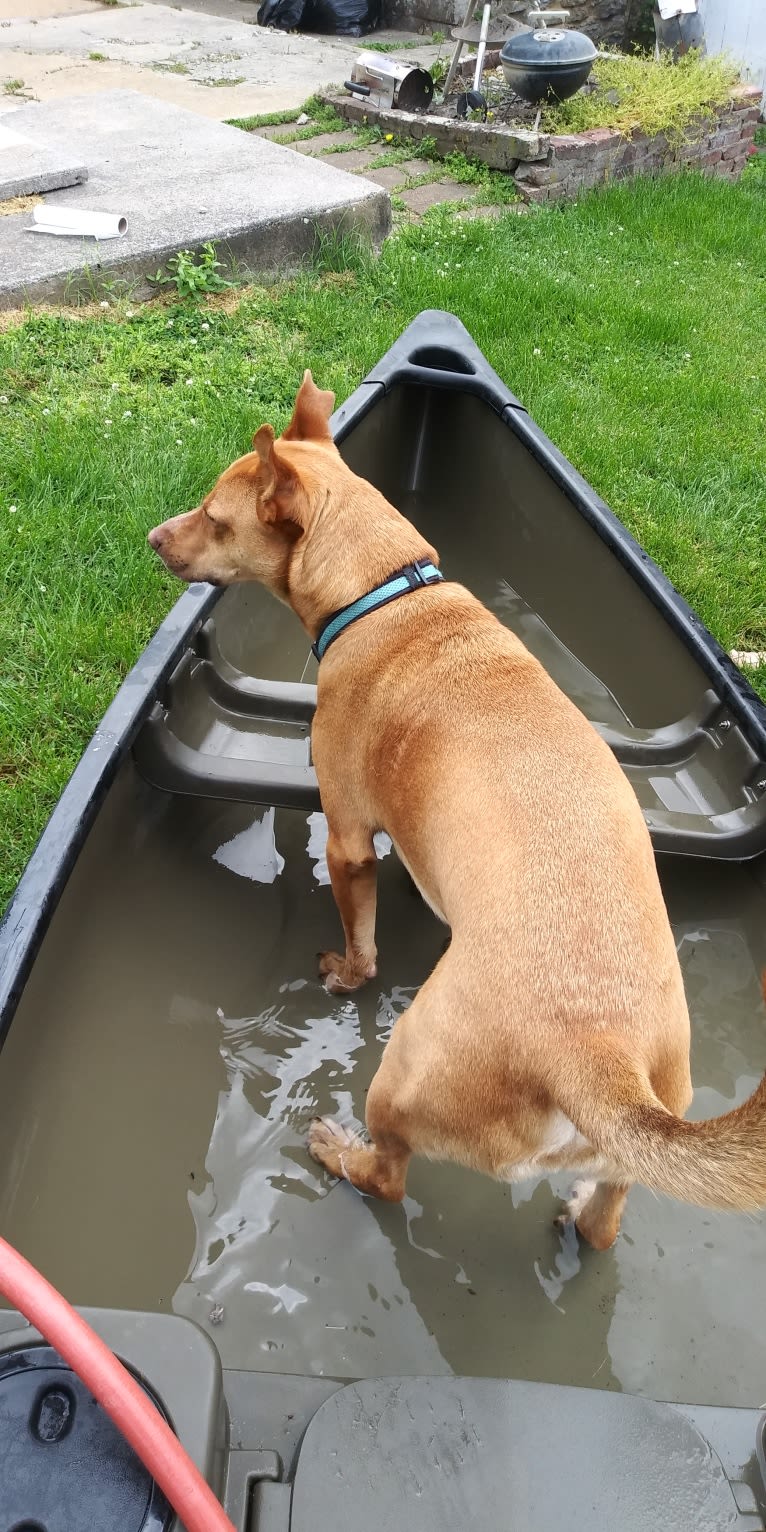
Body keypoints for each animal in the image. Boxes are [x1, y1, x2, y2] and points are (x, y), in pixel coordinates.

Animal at [147, 376, 766, 1250]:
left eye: (214, 515)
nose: (152, 538)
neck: (381, 588)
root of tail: (599, 1063)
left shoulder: (347, 840)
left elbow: (362, 941)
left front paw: (345, 970)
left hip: (404, 1072)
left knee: (390, 1176)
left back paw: (340, 1151)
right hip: (634, 1142)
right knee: (605, 1220)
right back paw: (585, 1211)